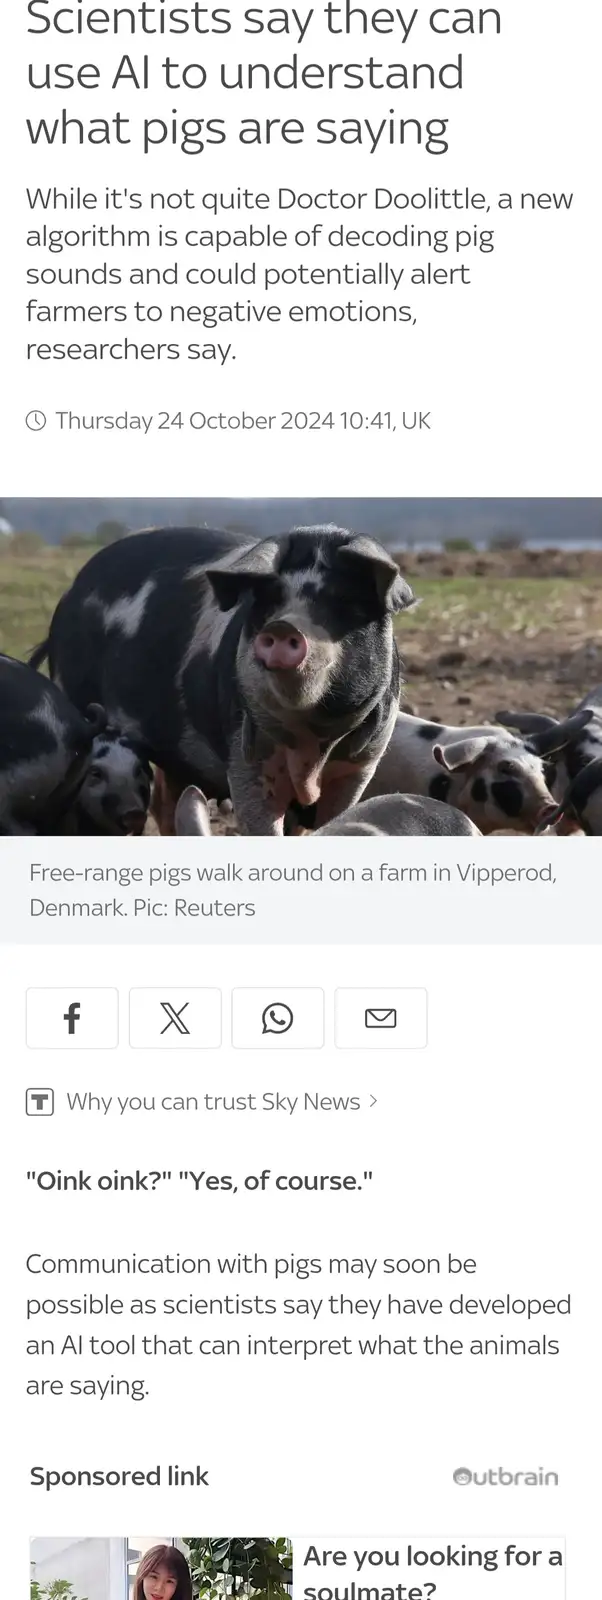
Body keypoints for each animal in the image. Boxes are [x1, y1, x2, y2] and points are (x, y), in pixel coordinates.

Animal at [30, 524, 415, 836]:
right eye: (268, 600)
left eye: (344, 600)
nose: (282, 626)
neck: (310, 745)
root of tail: (68, 599)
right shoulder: (244, 761)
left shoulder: (359, 767)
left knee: (167, 802)